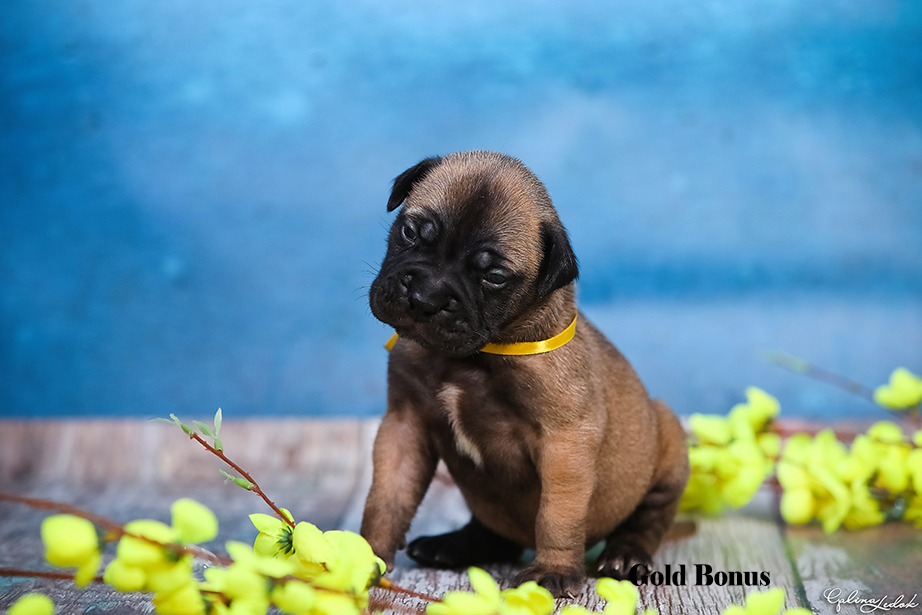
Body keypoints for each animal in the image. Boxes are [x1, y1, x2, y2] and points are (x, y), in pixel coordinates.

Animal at [356, 149, 688, 596]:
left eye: (494, 277)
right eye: (410, 232)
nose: (426, 298)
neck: (471, 357)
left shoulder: (564, 443)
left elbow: (557, 514)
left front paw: (554, 570)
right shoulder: (404, 427)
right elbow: (387, 496)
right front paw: (362, 553)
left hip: (666, 442)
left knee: (649, 517)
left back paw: (626, 554)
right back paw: (454, 545)